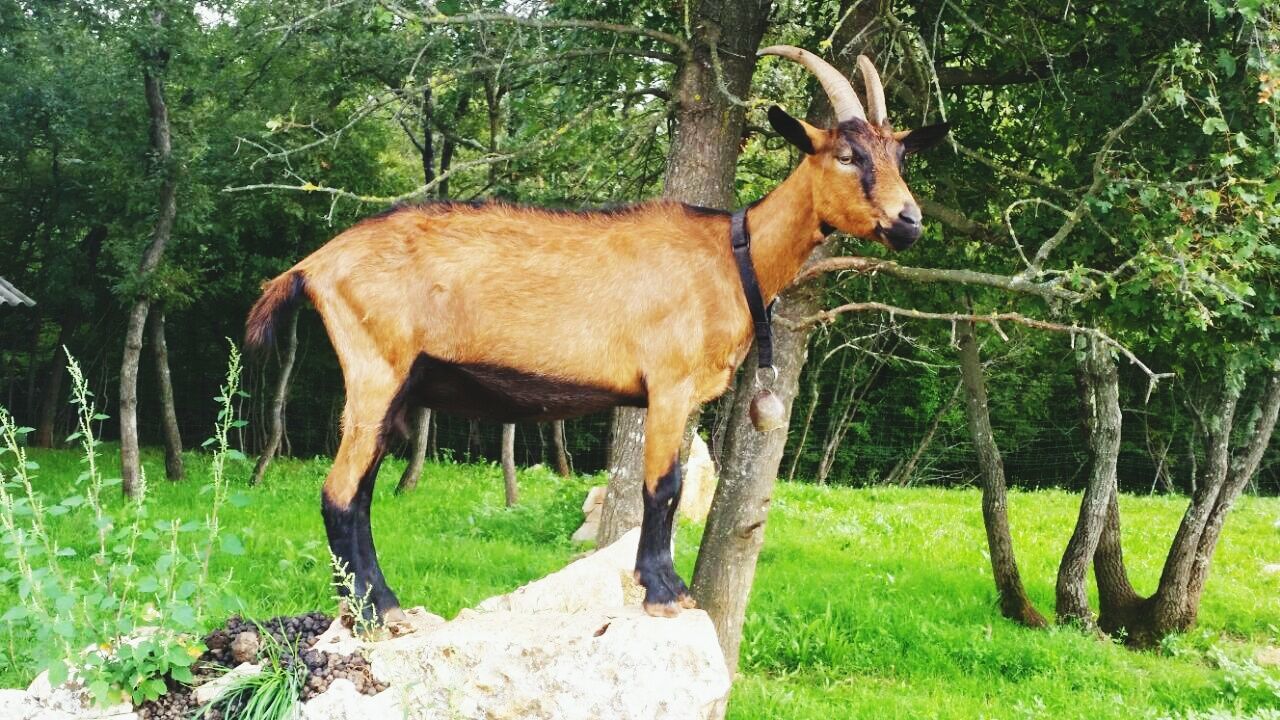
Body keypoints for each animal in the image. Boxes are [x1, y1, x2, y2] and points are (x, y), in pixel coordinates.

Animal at [247, 47, 952, 625]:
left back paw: (368, 606)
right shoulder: (668, 384)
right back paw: (380, 610)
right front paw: (665, 591)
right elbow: (662, 487)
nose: (909, 221)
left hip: (390, 386)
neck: (732, 255)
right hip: (375, 367)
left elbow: (665, 490)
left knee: (360, 490)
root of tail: (314, 264)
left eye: (900, 156)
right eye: (846, 155)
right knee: (340, 492)